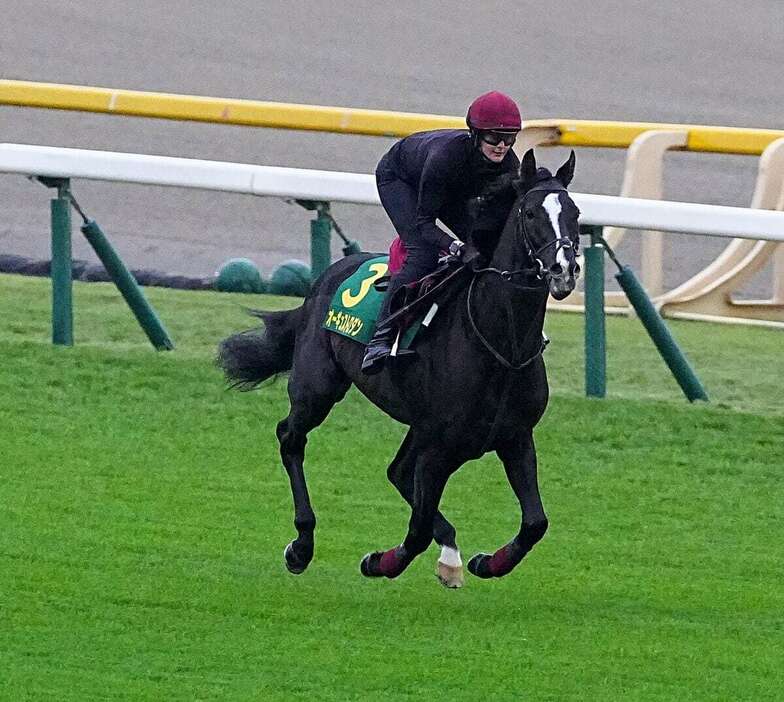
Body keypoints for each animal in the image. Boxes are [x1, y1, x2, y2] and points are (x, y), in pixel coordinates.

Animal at [217, 150, 580, 588]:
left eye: (576, 213)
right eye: (529, 213)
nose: (563, 270)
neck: (501, 343)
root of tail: (327, 276)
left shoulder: (514, 436)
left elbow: (535, 523)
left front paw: (486, 562)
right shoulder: (440, 445)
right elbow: (418, 528)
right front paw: (380, 562)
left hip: (421, 426)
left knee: (398, 471)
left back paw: (450, 553)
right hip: (318, 386)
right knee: (291, 438)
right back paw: (302, 545)